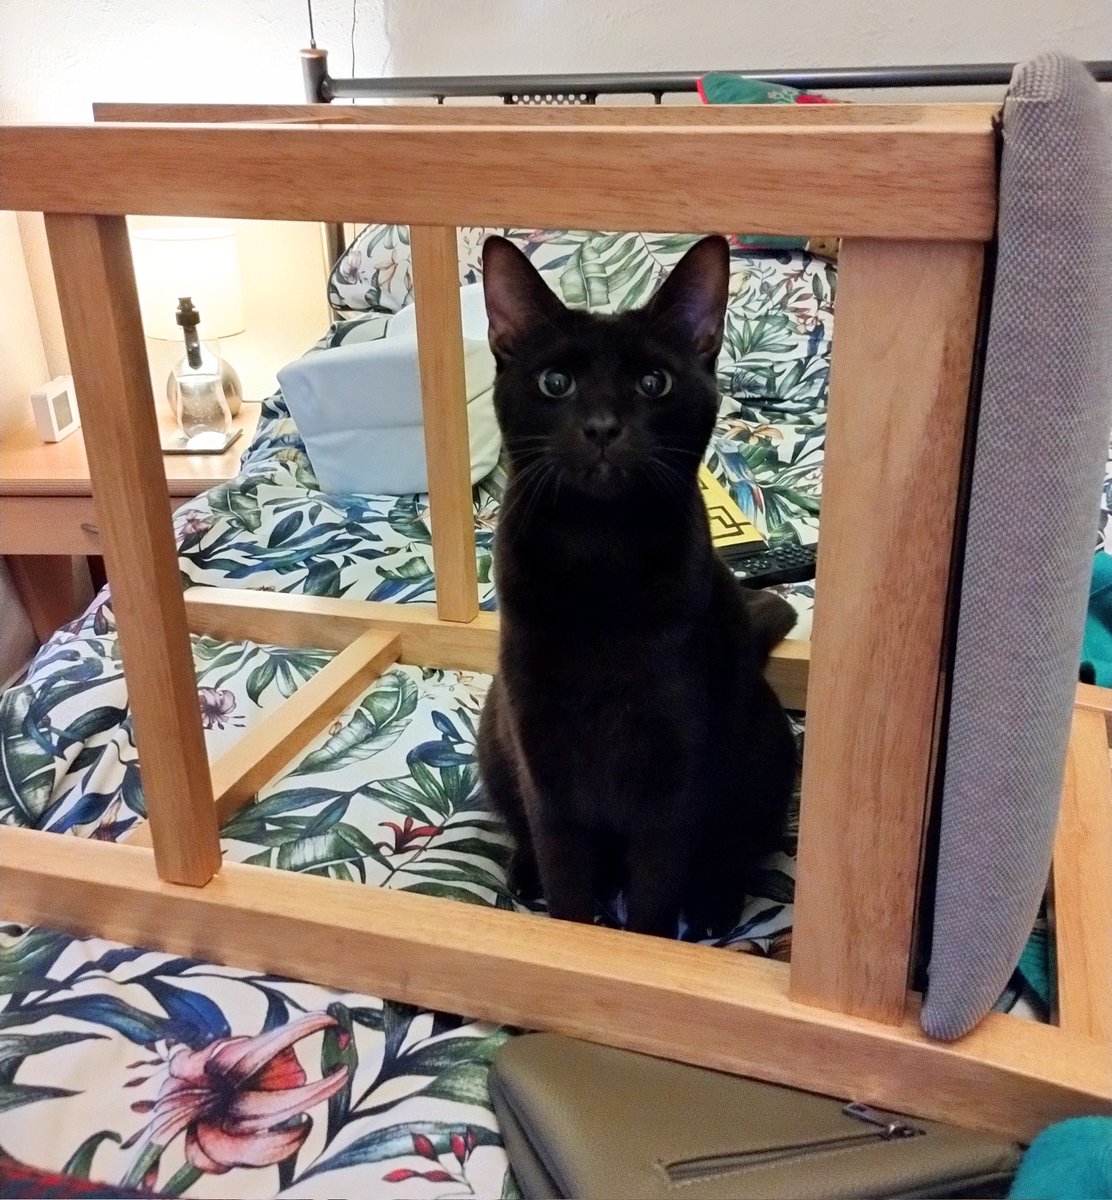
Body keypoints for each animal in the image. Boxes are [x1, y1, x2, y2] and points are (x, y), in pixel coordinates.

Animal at [477, 234, 801, 936]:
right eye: (556, 382)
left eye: (655, 383)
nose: (601, 425)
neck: (600, 555)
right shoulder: (542, 750)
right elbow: (566, 875)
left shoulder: (672, 767)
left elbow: (654, 893)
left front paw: (646, 947)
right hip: (495, 728)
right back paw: (524, 872)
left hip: (764, 751)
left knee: (736, 844)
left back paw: (711, 908)